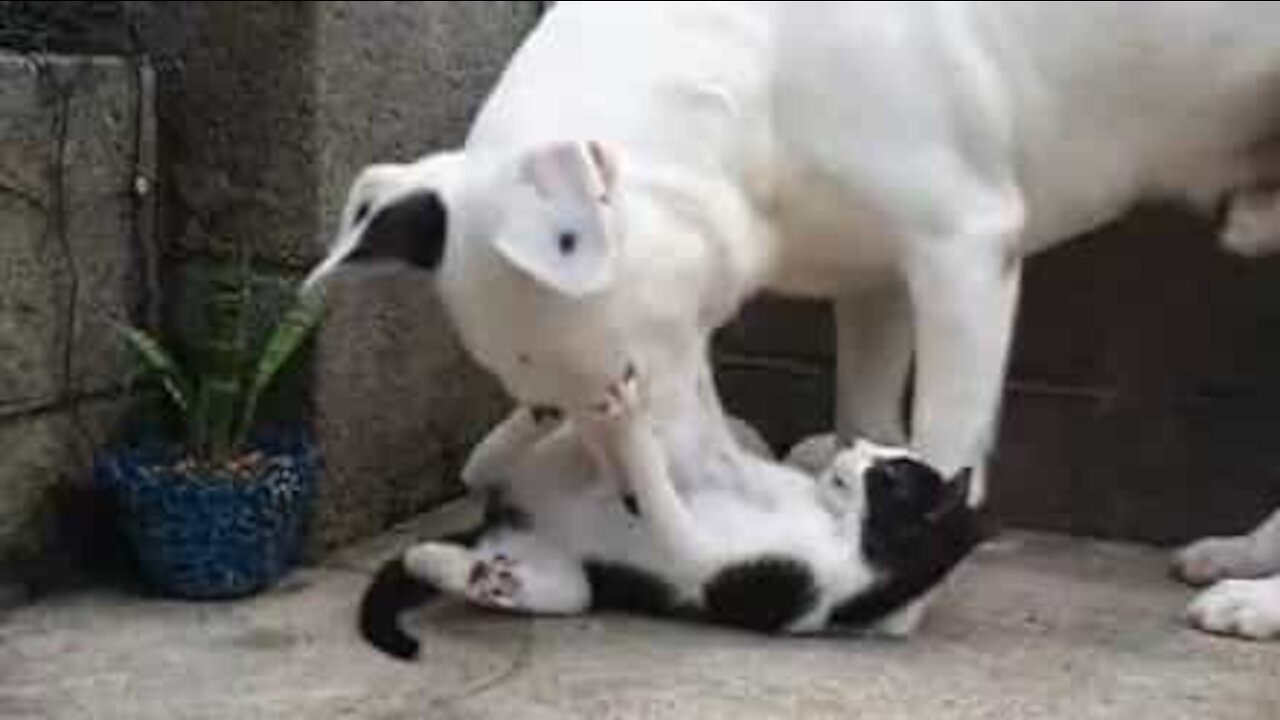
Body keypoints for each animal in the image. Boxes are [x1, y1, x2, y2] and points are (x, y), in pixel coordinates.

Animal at [360, 397, 988, 655]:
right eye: (882, 451)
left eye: (889, 475)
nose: (854, 444)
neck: (842, 533)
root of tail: (510, 515)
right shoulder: (774, 486)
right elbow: (731, 466)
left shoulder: (741, 574)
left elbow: (667, 509)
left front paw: (637, 433)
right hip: (540, 478)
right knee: (483, 467)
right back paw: (548, 413)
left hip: (575, 577)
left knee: (552, 576)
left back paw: (472, 573)